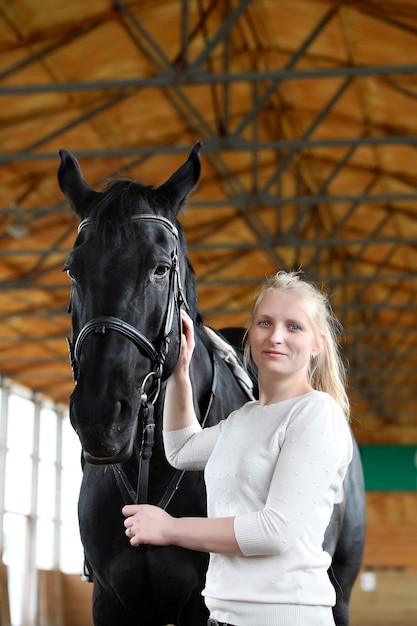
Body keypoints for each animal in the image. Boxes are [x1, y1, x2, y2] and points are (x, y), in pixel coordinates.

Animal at [57, 144, 364, 620]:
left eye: (160, 269)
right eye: (73, 270)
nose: (100, 416)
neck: (150, 473)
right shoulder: (109, 600)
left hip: (341, 594)